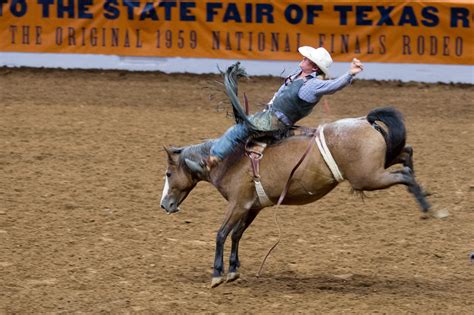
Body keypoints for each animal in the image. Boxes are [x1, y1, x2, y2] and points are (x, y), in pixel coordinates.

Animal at [159, 66, 430, 288]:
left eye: (169, 173)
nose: (164, 205)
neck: (230, 160)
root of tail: (367, 121)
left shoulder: (237, 204)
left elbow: (221, 234)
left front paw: (217, 274)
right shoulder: (252, 206)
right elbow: (237, 234)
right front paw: (233, 270)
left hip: (368, 177)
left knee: (404, 172)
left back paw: (428, 207)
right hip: (378, 165)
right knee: (406, 153)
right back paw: (423, 194)